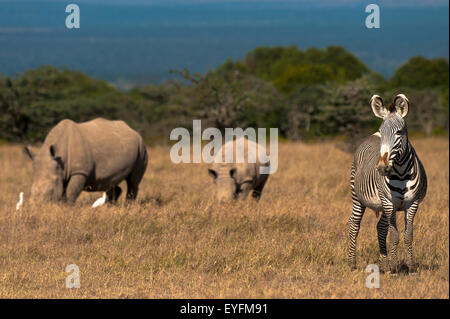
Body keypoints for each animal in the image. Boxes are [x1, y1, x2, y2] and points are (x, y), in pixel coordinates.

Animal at [348, 94, 428, 274]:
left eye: (399, 132)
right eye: (383, 131)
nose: (382, 168)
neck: (401, 172)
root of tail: (372, 134)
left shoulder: (412, 204)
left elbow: (408, 235)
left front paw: (411, 268)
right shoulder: (389, 202)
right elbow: (394, 235)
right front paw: (395, 269)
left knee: (380, 227)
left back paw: (383, 265)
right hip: (358, 197)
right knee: (354, 224)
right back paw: (352, 264)